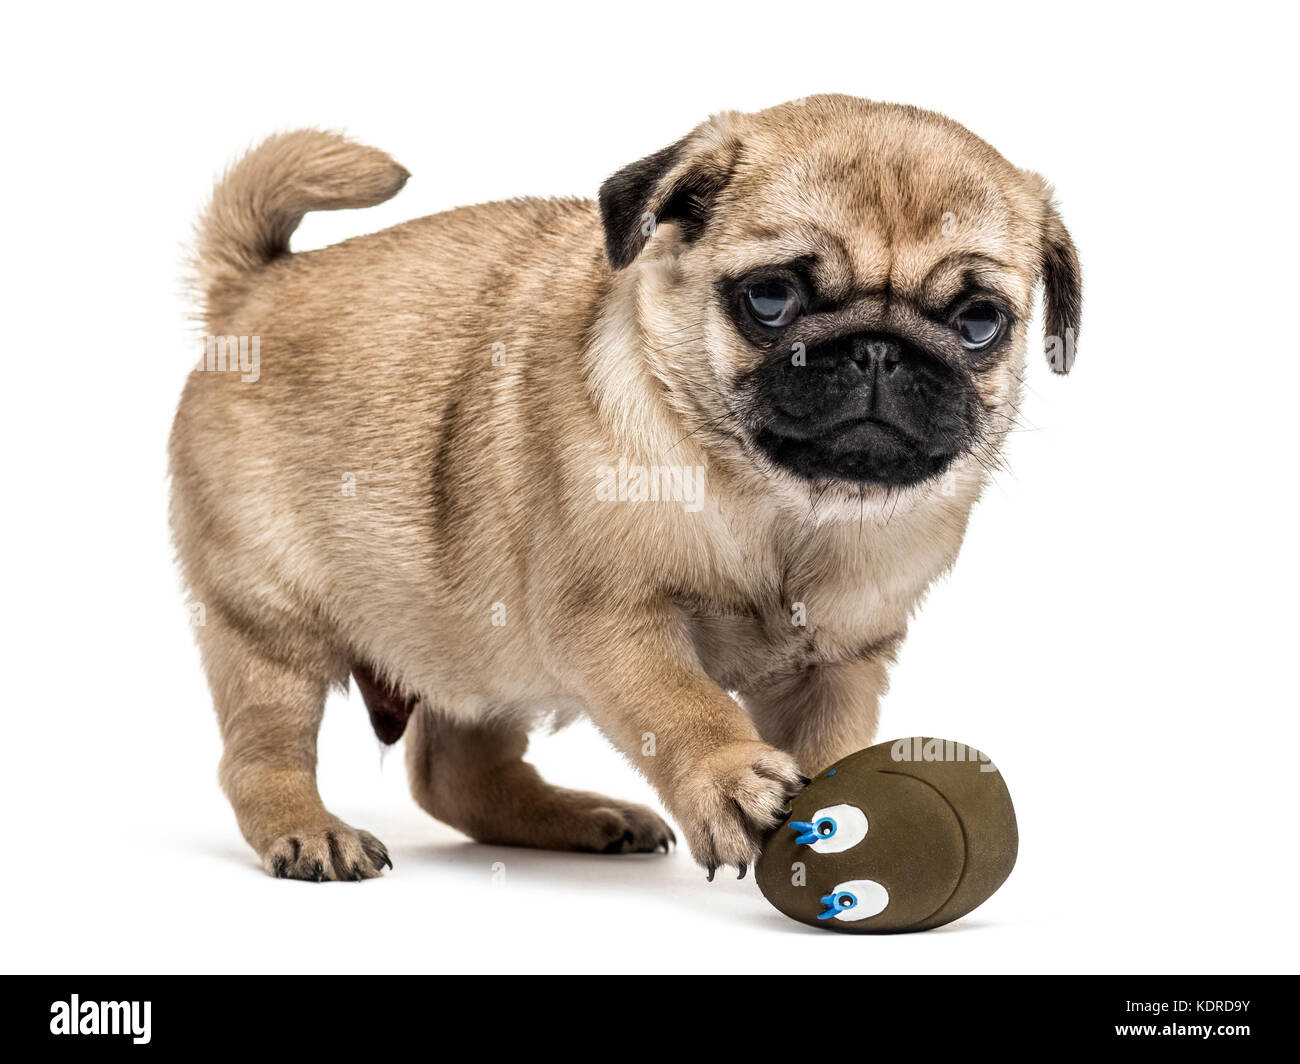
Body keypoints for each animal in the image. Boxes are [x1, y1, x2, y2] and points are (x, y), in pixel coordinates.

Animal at [175, 97, 1086, 879]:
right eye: (770, 298)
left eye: (979, 322)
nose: (877, 351)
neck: (780, 505)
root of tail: (253, 289)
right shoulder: (612, 621)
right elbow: (681, 705)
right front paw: (731, 780)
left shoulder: (840, 664)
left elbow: (834, 742)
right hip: (269, 623)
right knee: (262, 753)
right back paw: (308, 830)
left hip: (476, 640)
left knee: (452, 772)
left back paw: (582, 820)